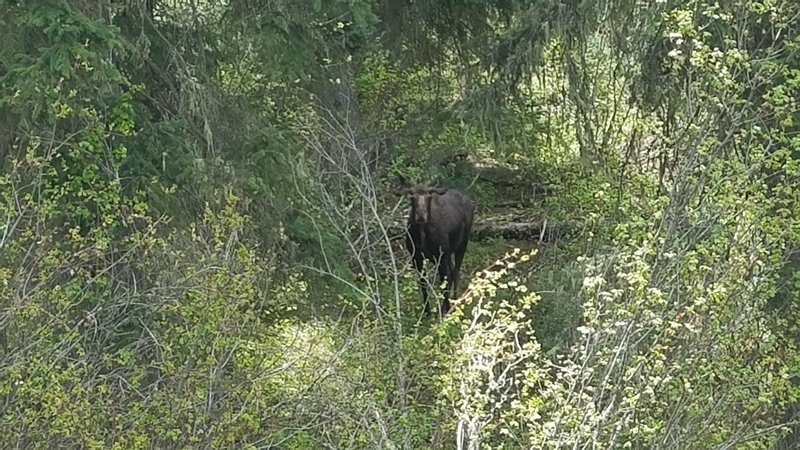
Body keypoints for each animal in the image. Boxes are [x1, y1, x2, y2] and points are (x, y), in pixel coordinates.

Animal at [404, 183, 472, 316]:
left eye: (429, 197)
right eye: (412, 197)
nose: (421, 215)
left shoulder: (441, 255)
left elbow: (444, 279)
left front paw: (445, 309)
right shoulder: (416, 257)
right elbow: (423, 282)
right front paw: (426, 311)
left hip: (462, 243)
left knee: (455, 272)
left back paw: (454, 302)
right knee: (452, 272)